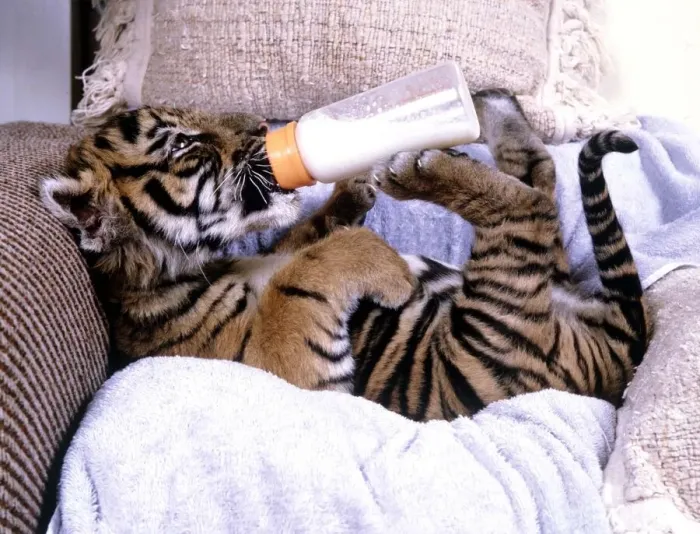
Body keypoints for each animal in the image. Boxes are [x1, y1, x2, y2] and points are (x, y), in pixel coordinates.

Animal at [40, 90, 652, 421]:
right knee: (529, 207)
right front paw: (385, 262)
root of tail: (622, 347)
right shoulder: (289, 368)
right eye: (184, 143)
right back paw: (420, 166)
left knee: (538, 174)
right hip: (501, 330)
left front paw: (349, 192)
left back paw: (485, 103)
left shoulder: (269, 252)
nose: (260, 127)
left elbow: (301, 240)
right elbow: (306, 269)